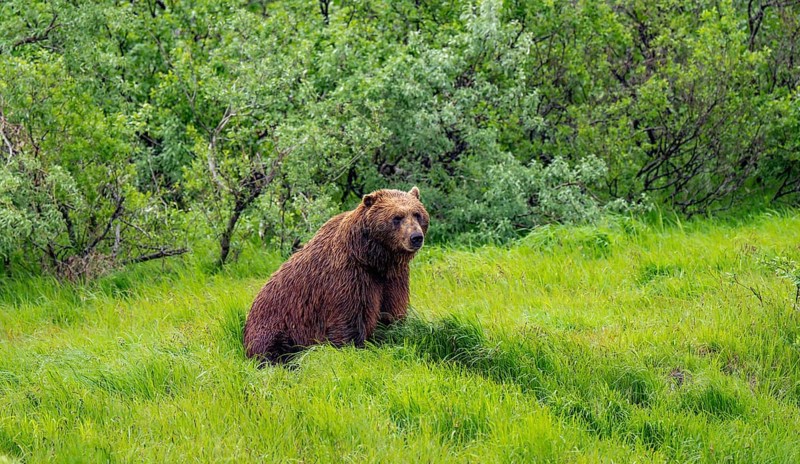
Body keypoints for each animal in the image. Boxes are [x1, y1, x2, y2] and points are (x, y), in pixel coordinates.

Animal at [243, 186, 429, 364]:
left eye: (417, 214)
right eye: (397, 217)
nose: (416, 237)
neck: (373, 259)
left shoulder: (393, 277)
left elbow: (392, 312)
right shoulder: (349, 277)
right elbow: (350, 319)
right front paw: (355, 348)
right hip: (276, 323)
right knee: (271, 348)